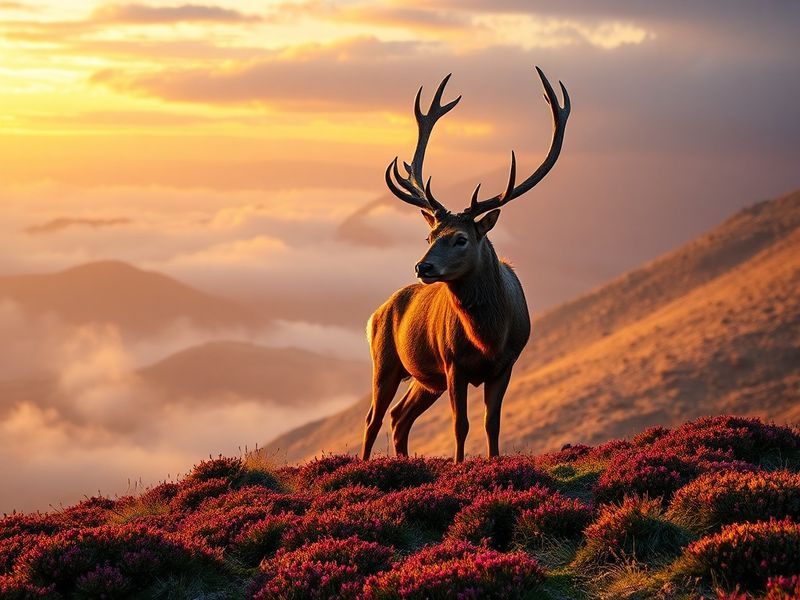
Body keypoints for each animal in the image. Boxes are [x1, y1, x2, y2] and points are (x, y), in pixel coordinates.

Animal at [361, 67, 571, 463]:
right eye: (429, 236)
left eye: (461, 238)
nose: (422, 267)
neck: (487, 336)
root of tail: (375, 314)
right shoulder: (452, 362)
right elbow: (461, 425)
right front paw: (459, 466)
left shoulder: (506, 364)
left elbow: (492, 424)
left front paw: (493, 462)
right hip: (386, 361)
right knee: (373, 419)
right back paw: (363, 465)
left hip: (426, 381)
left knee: (399, 417)